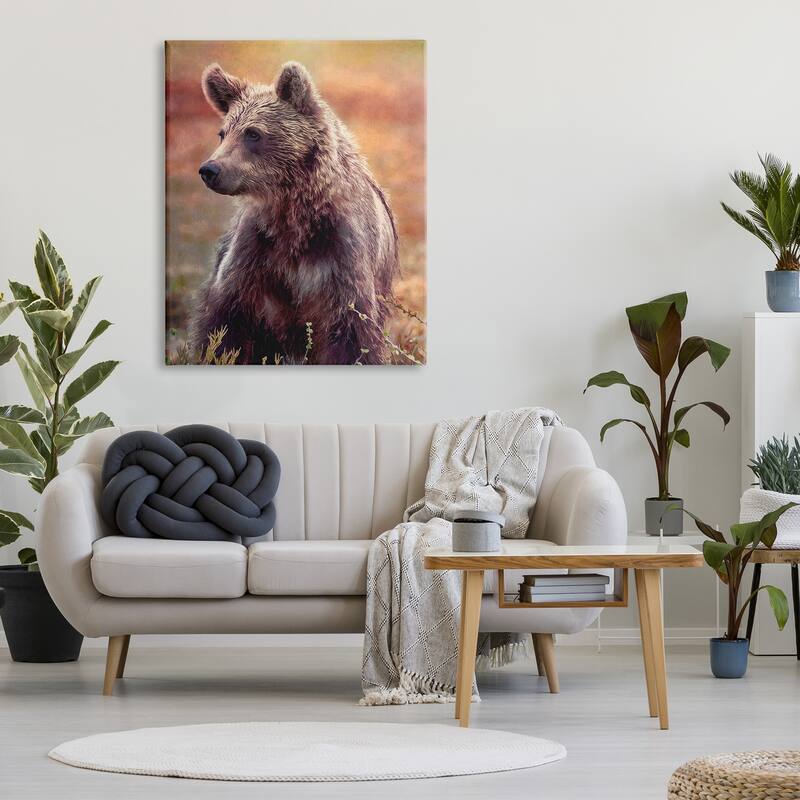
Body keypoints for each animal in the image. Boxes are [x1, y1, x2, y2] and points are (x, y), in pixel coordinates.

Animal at [188, 61, 399, 365]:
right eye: (223, 132)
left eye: (253, 133)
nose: (210, 170)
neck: (294, 214)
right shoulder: (256, 252)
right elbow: (225, 322)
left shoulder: (341, 256)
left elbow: (353, 333)